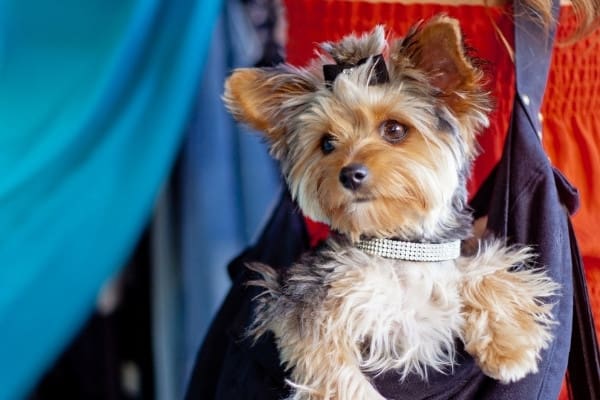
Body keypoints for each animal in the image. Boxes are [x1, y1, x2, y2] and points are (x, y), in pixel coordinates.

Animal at [224, 16, 556, 400]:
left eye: (394, 129)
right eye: (326, 143)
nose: (350, 174)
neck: (399, 247)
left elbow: (484, 269)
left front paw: (510, 344)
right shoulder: (300, 302)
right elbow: (330, 362)